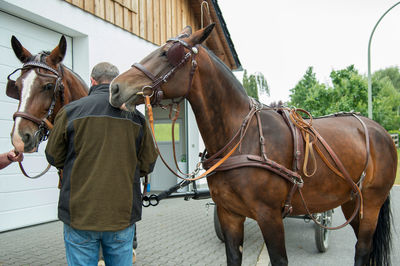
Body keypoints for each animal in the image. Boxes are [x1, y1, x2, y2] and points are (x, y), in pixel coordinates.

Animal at [108, 23, 396, 264]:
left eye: (167, 53)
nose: (115, 88)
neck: (241, 139)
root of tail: (379, 131)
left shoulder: (270, 217)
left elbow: (280, 259)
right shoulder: (229, 214)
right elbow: (233, 256)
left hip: (371, 203)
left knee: (363, 249)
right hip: (352, 202)